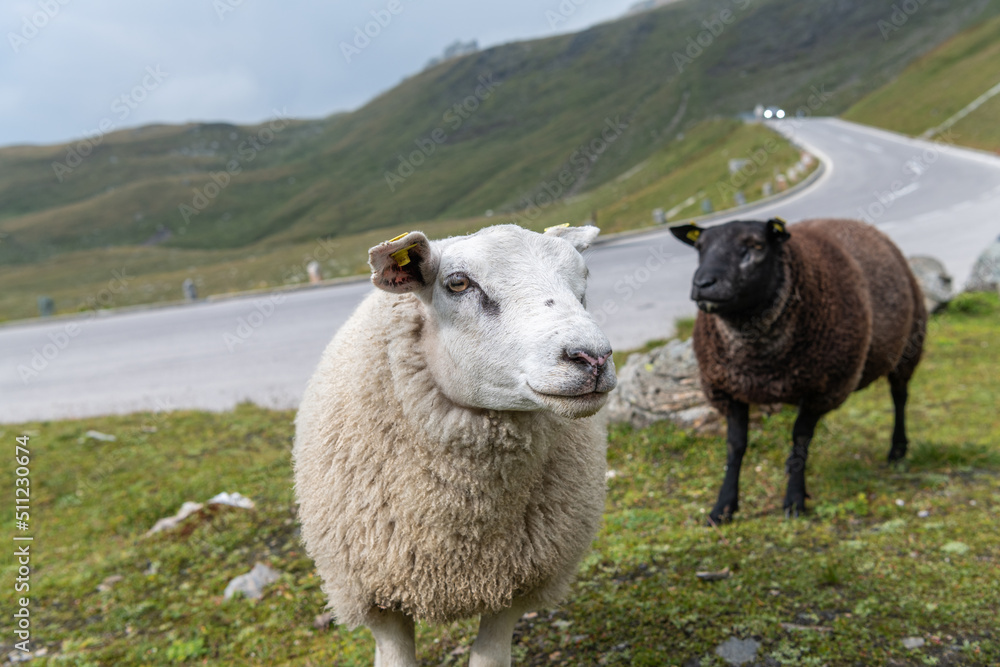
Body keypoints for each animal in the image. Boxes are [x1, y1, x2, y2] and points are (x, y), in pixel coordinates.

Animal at [670, 217, 926, 523]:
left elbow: (800, 439)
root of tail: (861, 224)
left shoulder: (823, 389)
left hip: (908, 347)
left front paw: (794, 500)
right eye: (699, 247)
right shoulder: (726, 389)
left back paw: (897, 450)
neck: (758, 359)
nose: (703, 284)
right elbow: (735, 446)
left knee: (900, 398)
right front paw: (723, 507)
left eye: (757, 246)